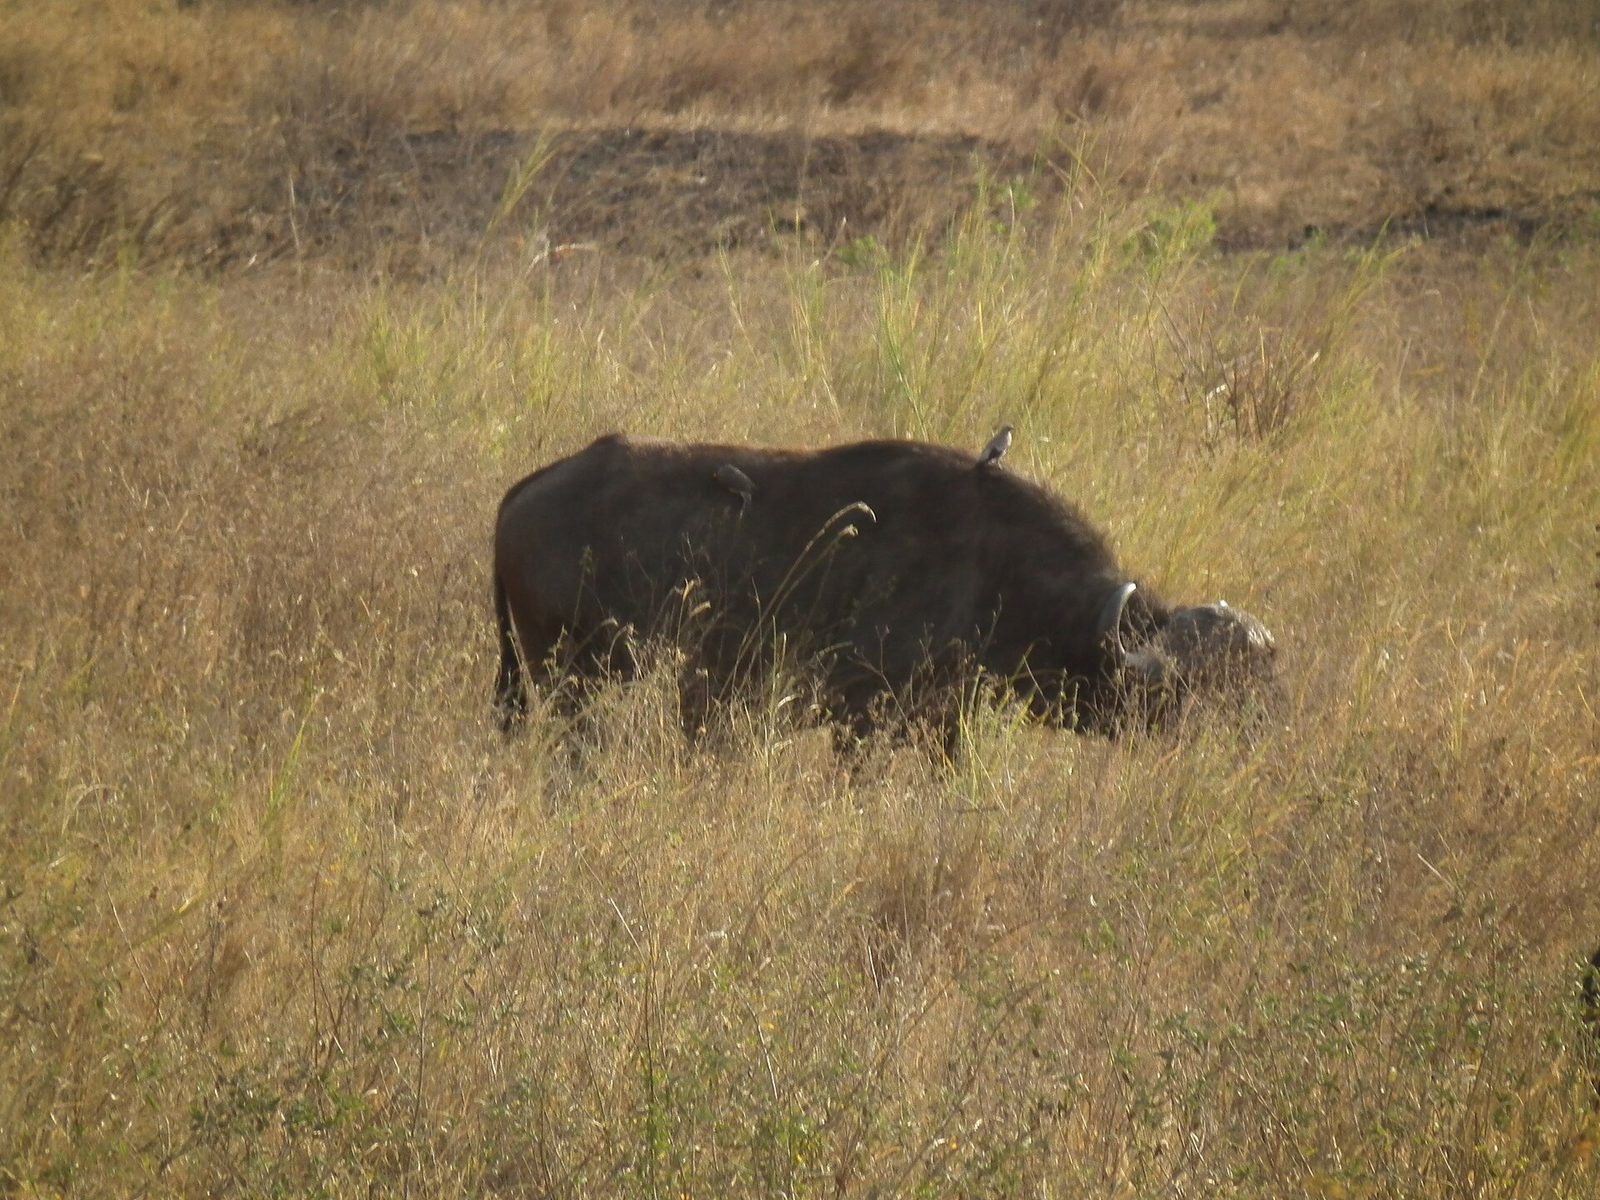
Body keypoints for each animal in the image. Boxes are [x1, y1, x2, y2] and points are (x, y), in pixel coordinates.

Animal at [493, 433, 1276, 742]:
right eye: (1189, 693)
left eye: (1255, 689)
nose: (1246, 744)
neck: (996, 570)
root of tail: (526, 491)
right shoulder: (862, 720)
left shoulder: (942, 723)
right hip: (568, 683)